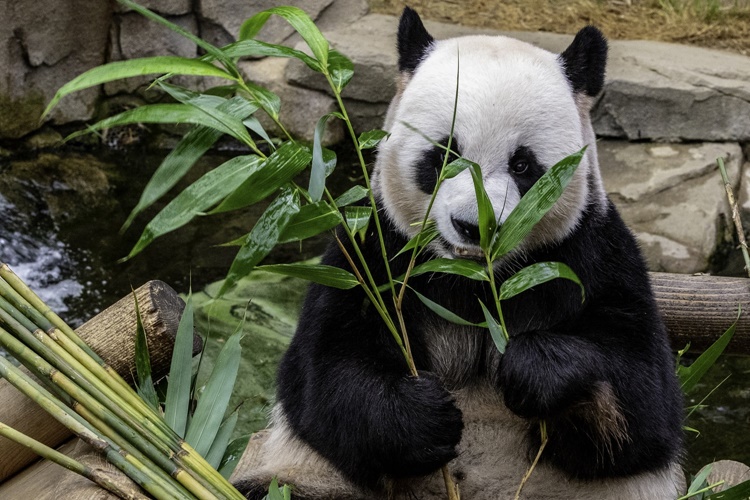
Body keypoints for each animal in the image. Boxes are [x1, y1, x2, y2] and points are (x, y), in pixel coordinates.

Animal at [235, 7, 684, 500]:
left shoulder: (590, 253)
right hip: (315, 480)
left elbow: (643, 400)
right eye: (445, 153)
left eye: (523, 165)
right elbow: (324, 377)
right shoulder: (372, 253)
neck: (473, 281)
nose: (475, 227)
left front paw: (533, 368)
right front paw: (424, 417)